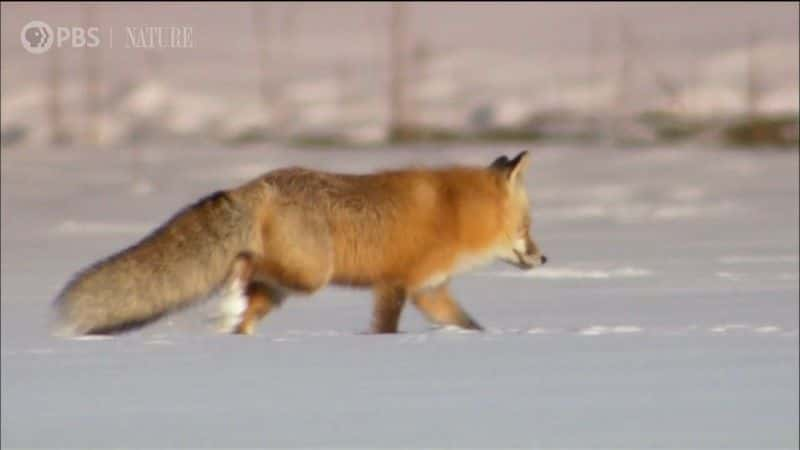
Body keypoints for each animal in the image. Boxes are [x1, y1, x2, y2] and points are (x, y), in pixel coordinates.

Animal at [53, 149, 548, 336]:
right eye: (527, 227)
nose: (545, 258)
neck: (453, 210)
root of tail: (257, 184)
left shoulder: (429, 291)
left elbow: (469, 325)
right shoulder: (394, 285)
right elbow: (386, 329)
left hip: (284, 289)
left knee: (247, 314)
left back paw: (233, 325)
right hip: (312, 277)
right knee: (244, 267)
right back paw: (227, 300)